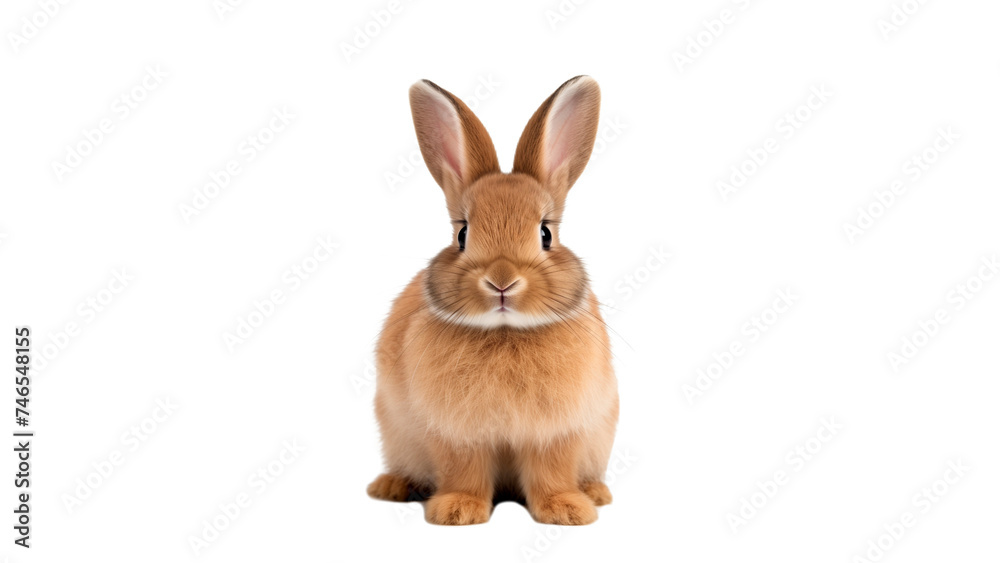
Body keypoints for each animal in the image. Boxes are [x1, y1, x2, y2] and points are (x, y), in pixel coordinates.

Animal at [367, 76, 619, 526]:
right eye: (462, 234)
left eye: (545, 234)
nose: (502, 282)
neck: (505, 333)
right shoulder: (456, 433)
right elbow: (464, 469)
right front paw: (457, 510)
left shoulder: (557, 431)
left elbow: (551, 471)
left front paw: (567, 511)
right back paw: (391, 487)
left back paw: (595, 492)